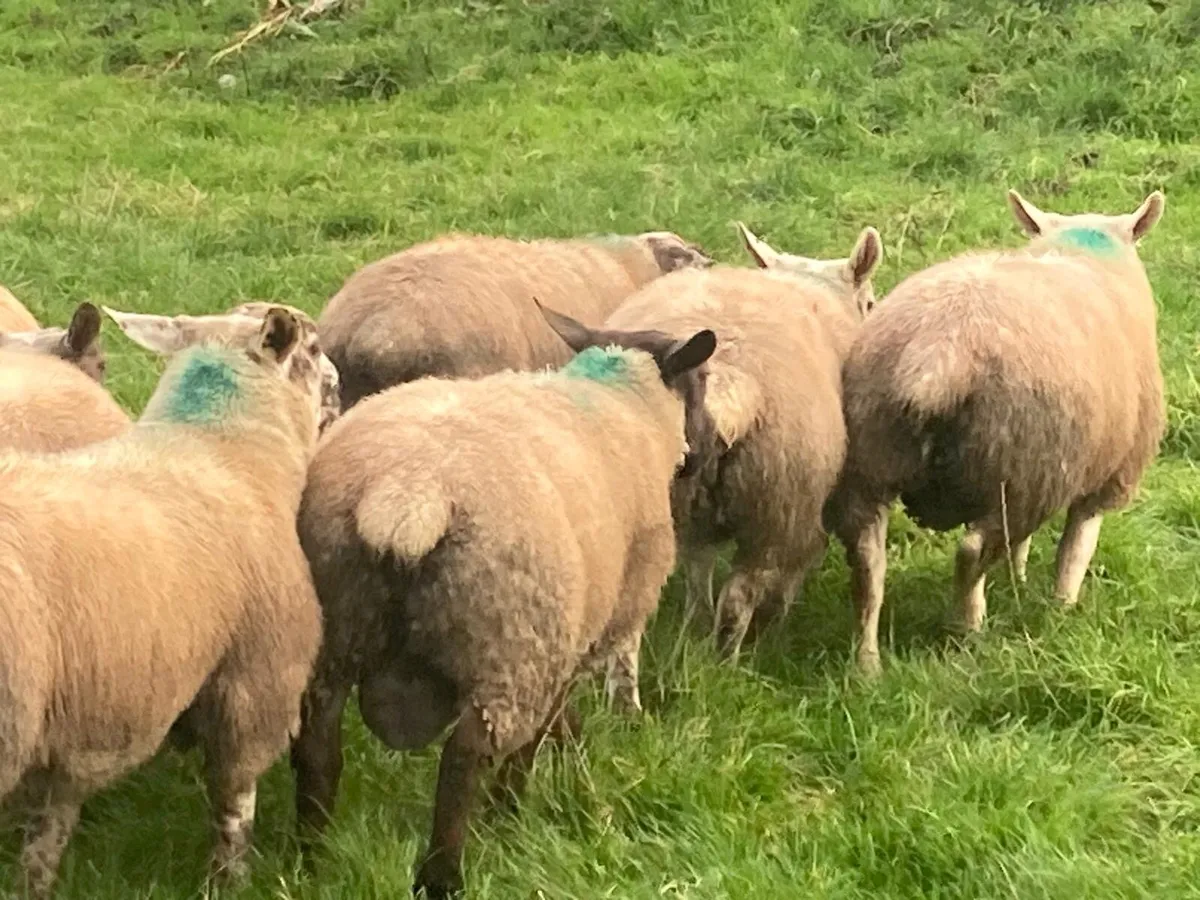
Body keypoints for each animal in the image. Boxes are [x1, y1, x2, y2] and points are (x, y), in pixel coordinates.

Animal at [0, 306, 329, 898]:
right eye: (314, 350)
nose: (339, 390)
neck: (220, 448)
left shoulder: (83, 715)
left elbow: (47, 830)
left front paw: (31, 884)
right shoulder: (259, 679)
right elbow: (234, 801)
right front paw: (229, 880)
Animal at [290, 302, 716, 898]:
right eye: (702, 382)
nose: (712, 447)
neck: (624, 403)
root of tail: (407, 498)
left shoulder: (566, 632)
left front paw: (571, 741)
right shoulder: (579, 627)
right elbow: (542, 727)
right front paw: (525, 794)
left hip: (338, 628)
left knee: (318, 747)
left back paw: (314, 857)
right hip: (510, 645)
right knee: (465, 759)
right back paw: (450, 867)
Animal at [601, 223, 883, 662]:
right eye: (869, 302)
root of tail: (725, 384)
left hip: (683, 505)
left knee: (697, 576)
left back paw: (693, 637)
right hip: (773, 505)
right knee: (738, 596)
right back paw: (728, 660)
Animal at [826, 189, 1166, 675]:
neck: (1082, 251)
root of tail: (939, 354)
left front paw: (1019, 582)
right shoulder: (1107, 477)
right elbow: (1075, 550)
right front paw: (1062, 608)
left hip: (871, 460)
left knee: (867, 564)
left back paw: (867, 663)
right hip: (1022, 472)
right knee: (973, 552)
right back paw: (968, 627)